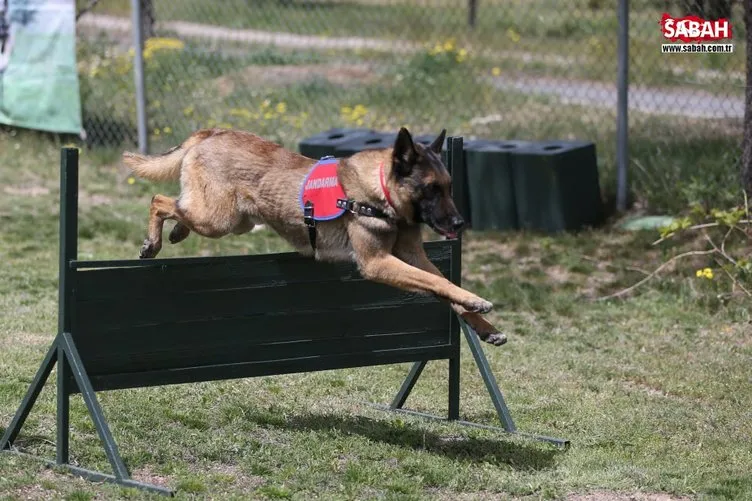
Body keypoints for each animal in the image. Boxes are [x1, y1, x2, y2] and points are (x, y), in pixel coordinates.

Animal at [123, 126, 508, 344]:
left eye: (449, 187)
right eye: (431, 189)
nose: (459, 224)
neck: (379, 192)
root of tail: (212, 134)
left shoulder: (413, 256)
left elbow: (443, 286)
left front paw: (484, 325)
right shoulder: (377, 263)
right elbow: (439, 284)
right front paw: (476, 300)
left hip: (233, 221)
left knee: (179, 206)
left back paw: (176, 232)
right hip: (219, 219)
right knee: (159, 201)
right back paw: (153, 243)